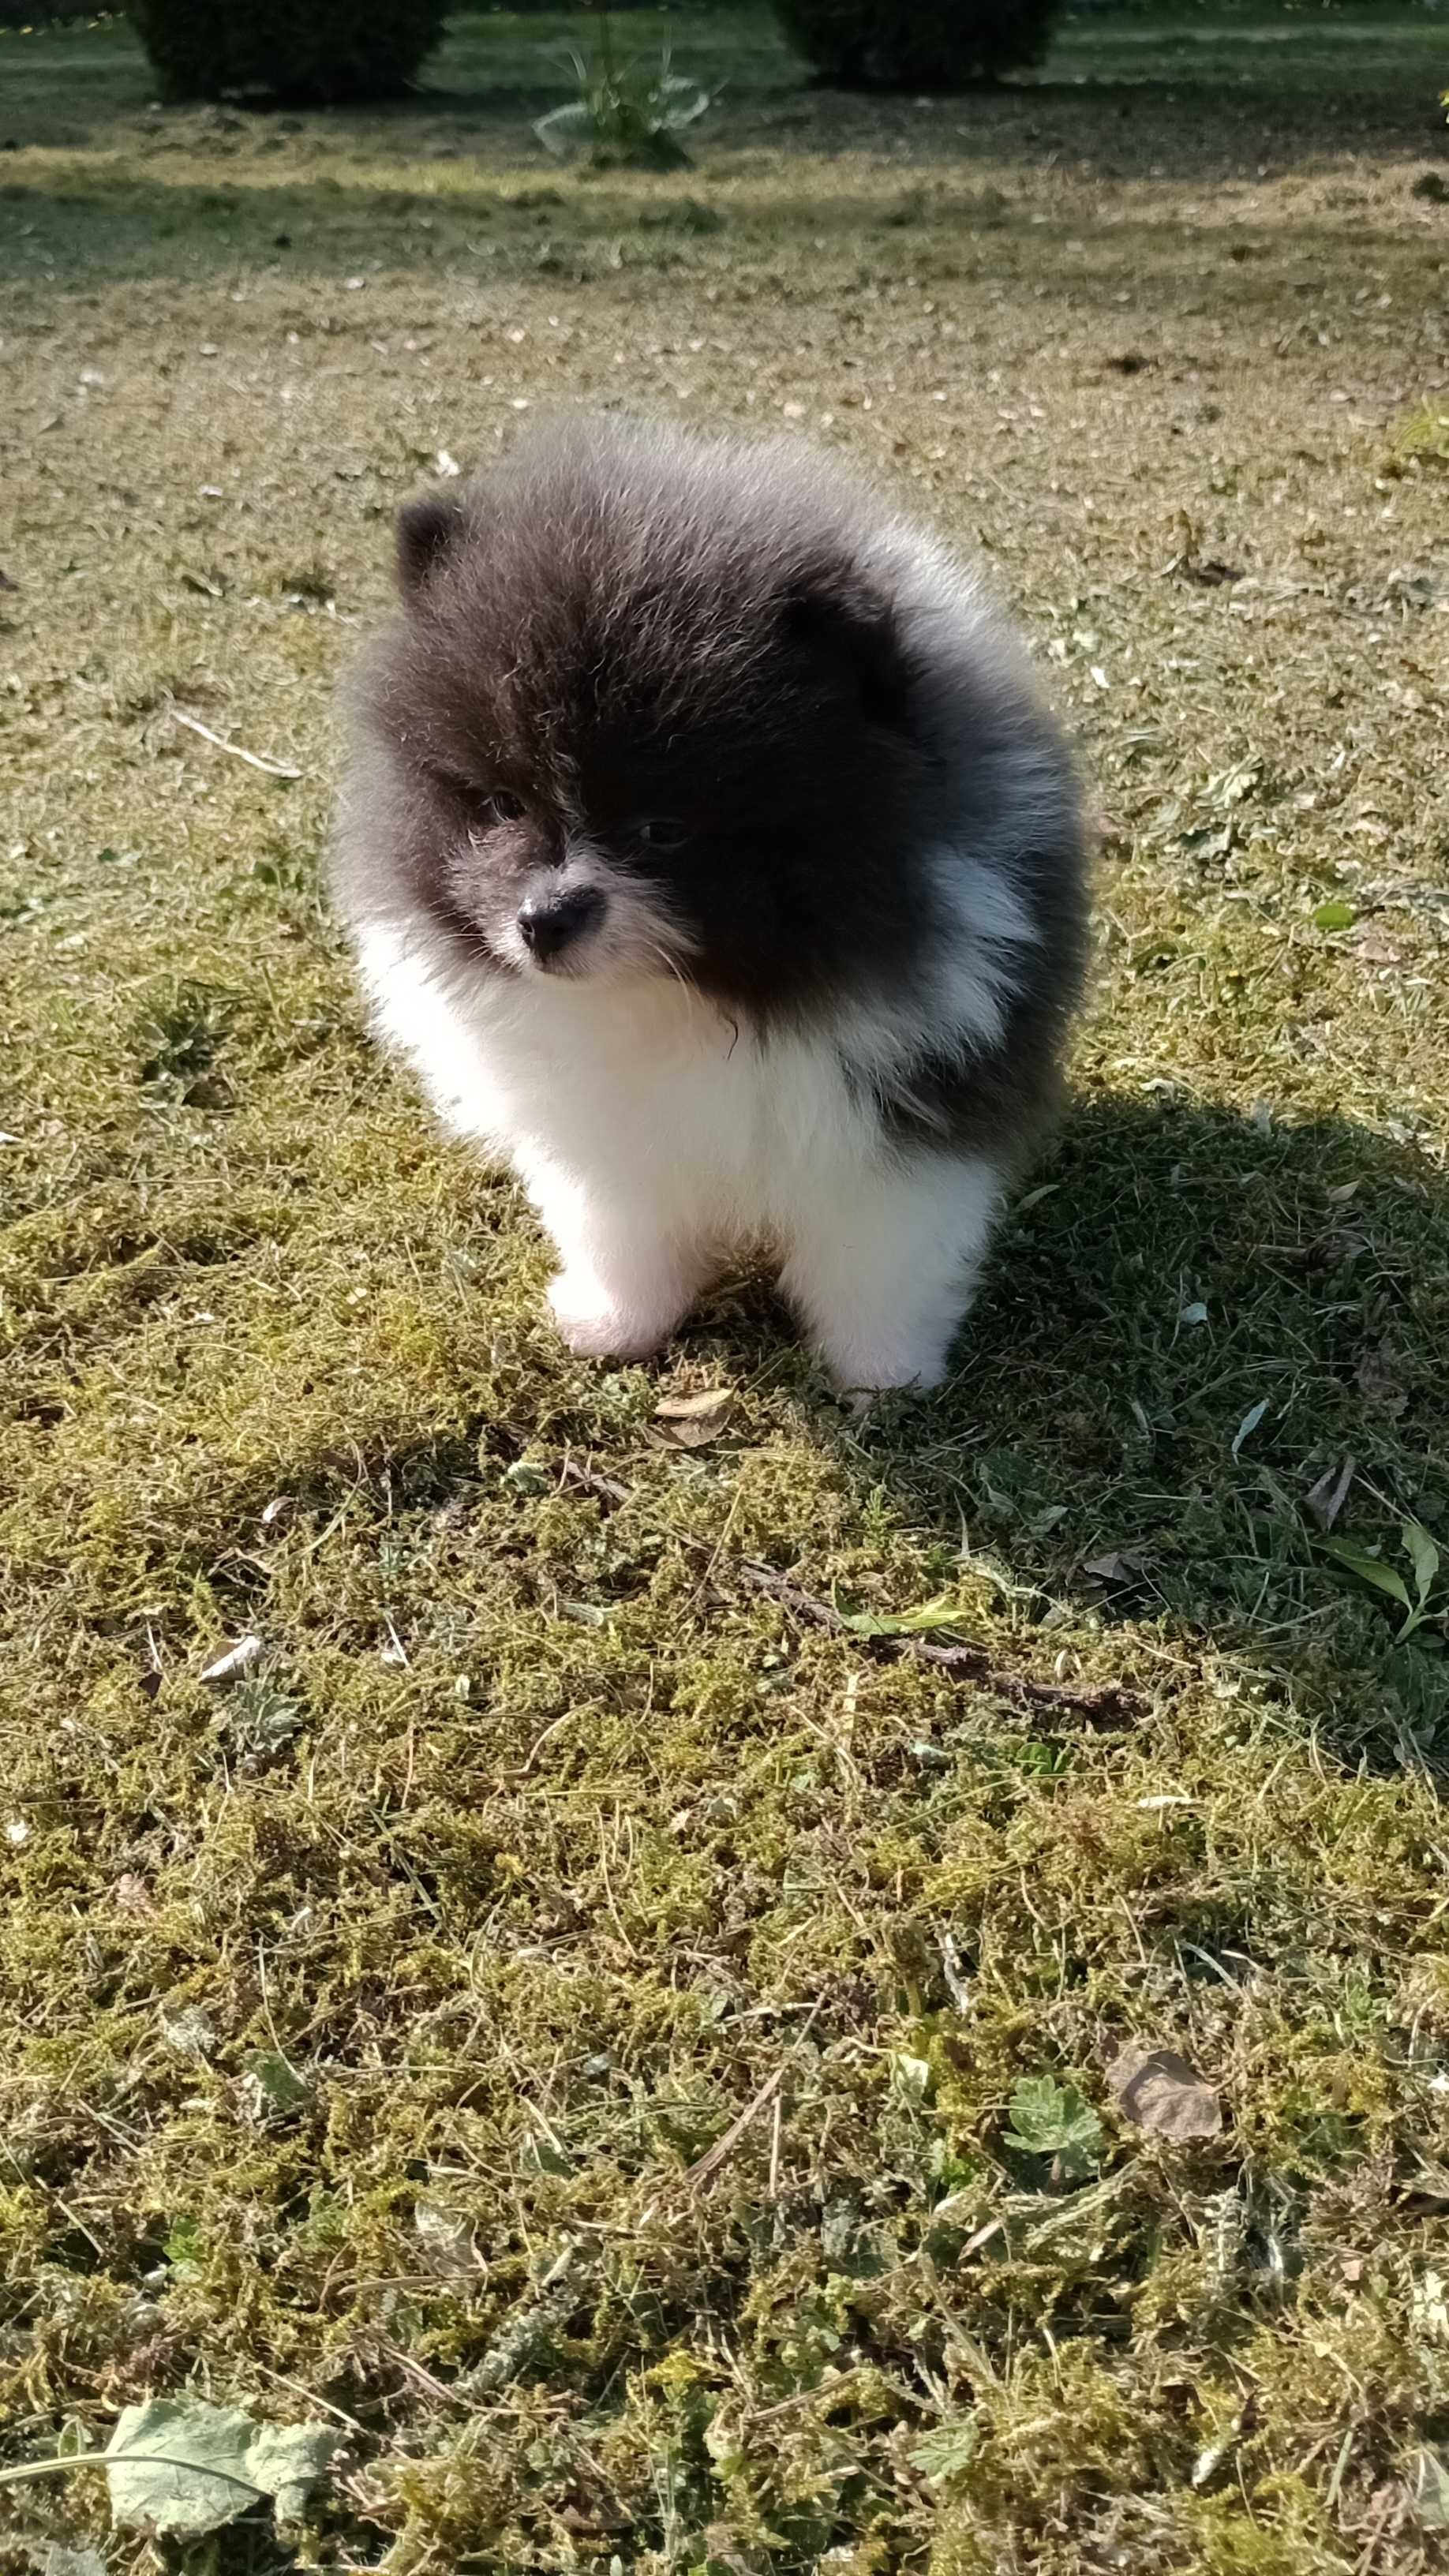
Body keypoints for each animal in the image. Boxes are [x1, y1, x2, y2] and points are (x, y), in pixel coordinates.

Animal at [335, 422, 1083, 1391]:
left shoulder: (904, 1122)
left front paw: (885, 1371)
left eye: (663, 829)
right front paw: (618, 1323)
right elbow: (624, 1234)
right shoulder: (609, 1143)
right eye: (502, 806)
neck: (684, 992)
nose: (544, 920)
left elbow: (877, 1258)